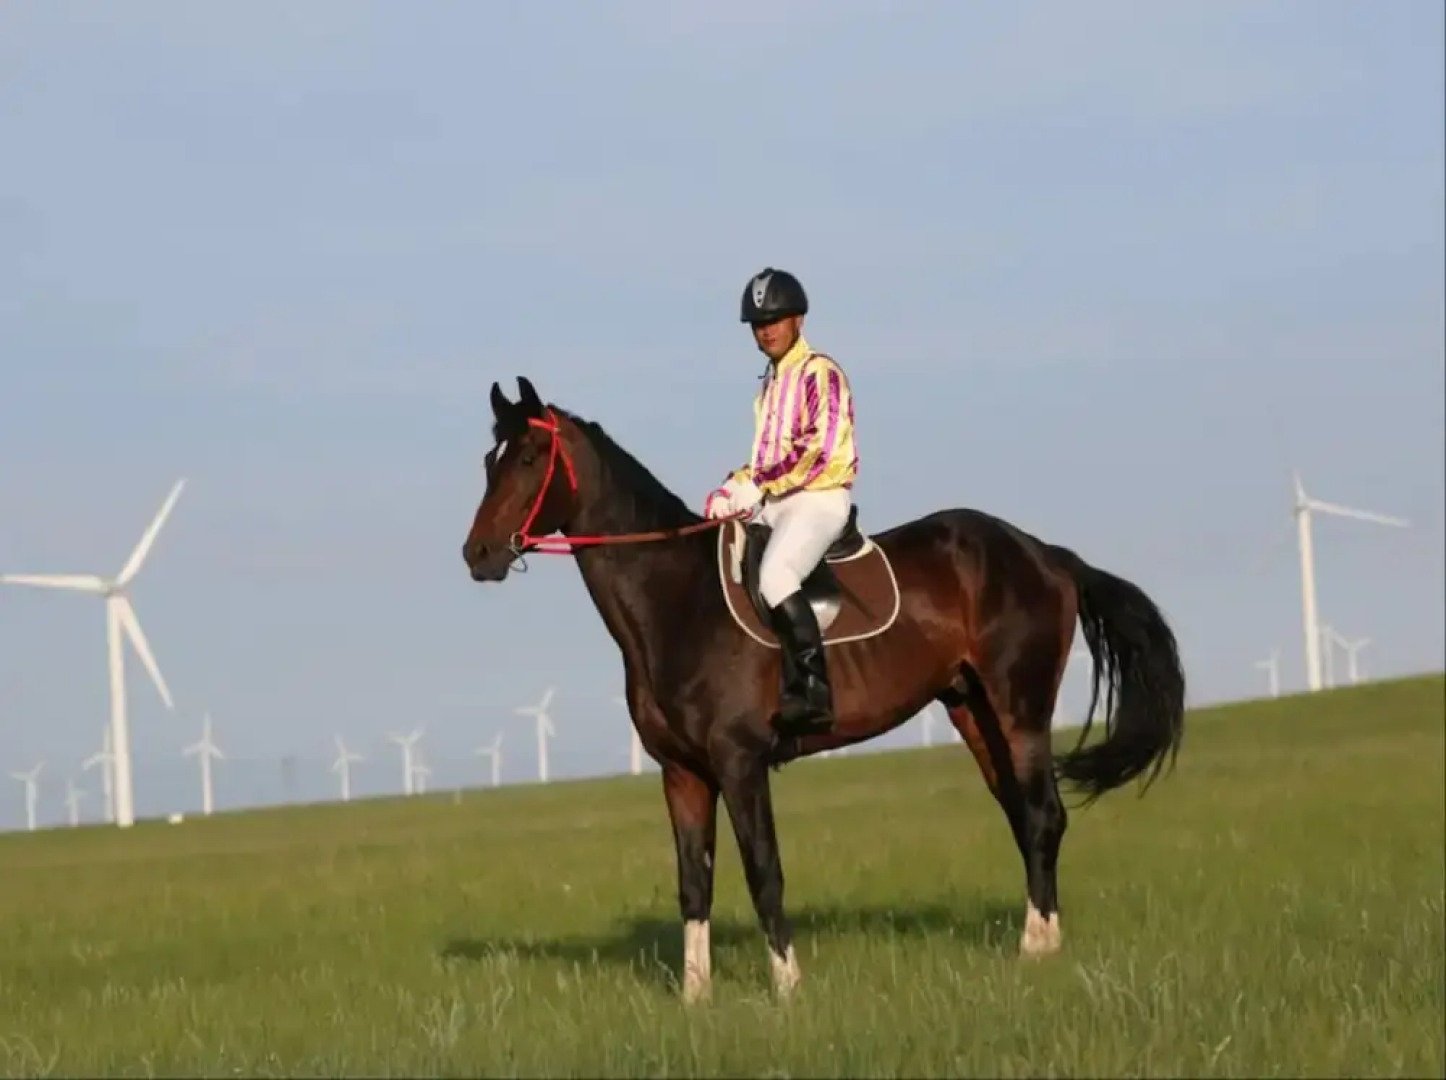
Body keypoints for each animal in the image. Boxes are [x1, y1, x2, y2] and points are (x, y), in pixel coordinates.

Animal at [461, 376, 1186, 1003]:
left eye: (529, 456)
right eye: (489, 460)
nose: (478, 554)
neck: (677, 599)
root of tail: (1045, 554)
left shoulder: (740, 762)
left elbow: (763, 871)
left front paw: (787, 986)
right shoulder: (681, 772)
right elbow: (693, 883)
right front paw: (695, 998)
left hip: (1020, 711)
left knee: (1041, 815)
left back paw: (1036, 950)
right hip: (972, 711)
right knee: (1024, 816)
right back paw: (1039, 941)